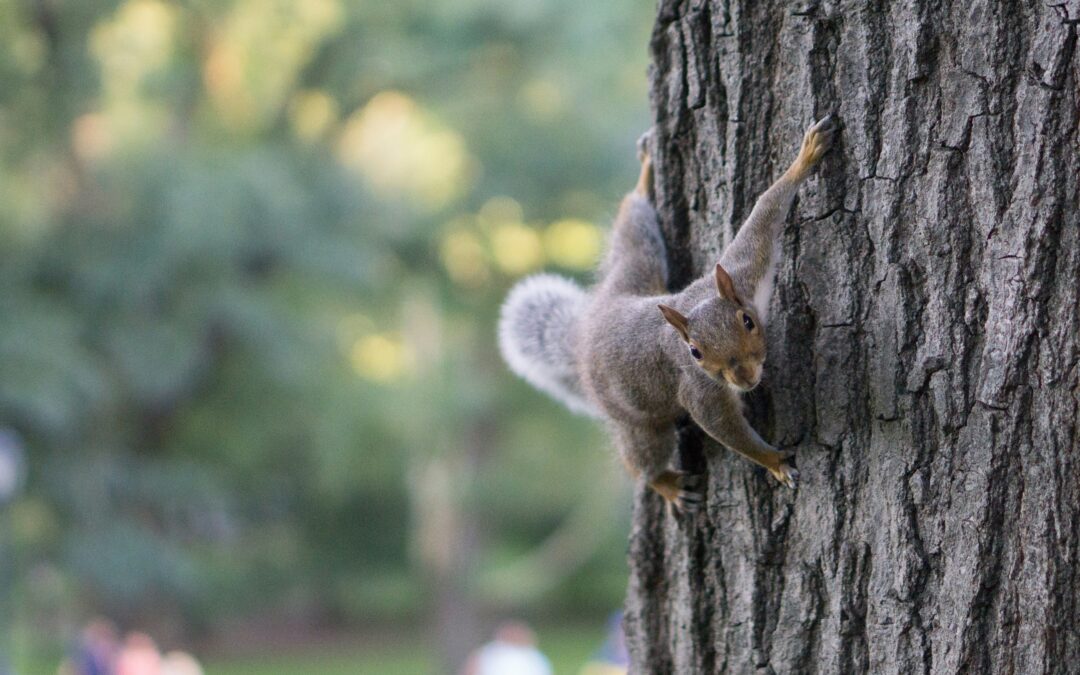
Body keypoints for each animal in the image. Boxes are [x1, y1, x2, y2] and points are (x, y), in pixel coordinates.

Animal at [499, 116, 837, 513]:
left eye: (748, 321)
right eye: (695, 352)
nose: (744, 378)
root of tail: (587, 332)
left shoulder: (744, 271)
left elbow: (765, 212)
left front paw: (806, 156)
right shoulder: (699, 390)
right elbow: (725, 429)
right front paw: (774, 462)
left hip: (636, 268)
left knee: (632, 231)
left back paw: (644, 180)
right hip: (636, 420)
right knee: (640, 459)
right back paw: (666, 485)